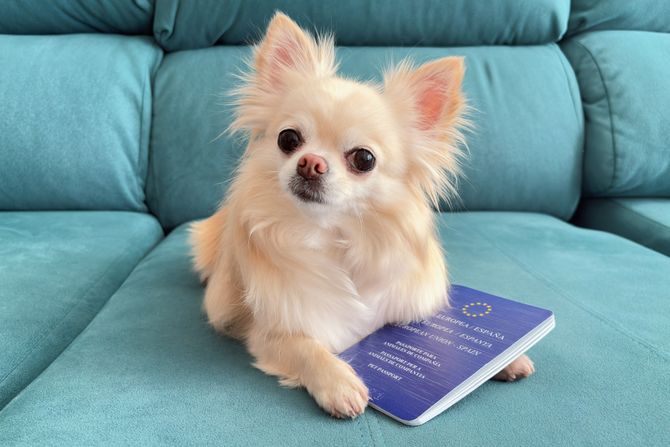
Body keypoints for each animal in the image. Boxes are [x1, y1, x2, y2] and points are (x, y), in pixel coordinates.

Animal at [191, 12, 534, 419]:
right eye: (288, 139)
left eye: (363, 159)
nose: (310, 163)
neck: (336, 236)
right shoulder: (268, 333)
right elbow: (306, 348)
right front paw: (339, 382)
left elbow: (442, 333)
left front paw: (506, 359)